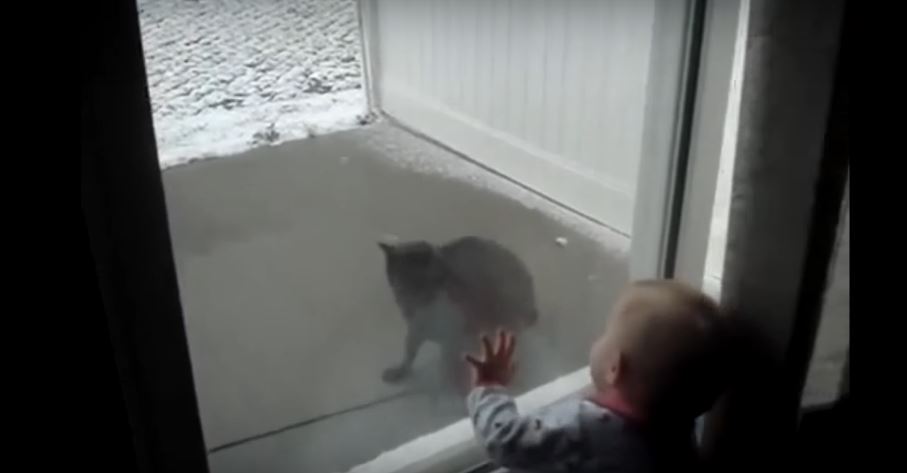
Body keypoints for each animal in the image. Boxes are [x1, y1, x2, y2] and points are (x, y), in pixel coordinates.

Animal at [378, 234, 540, 390]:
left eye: (442, 276)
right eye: (403, 282)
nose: (405, 300)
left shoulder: (454, 334)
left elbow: (447, 364)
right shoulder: (415, 330)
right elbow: (409, 353)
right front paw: (400, 370)